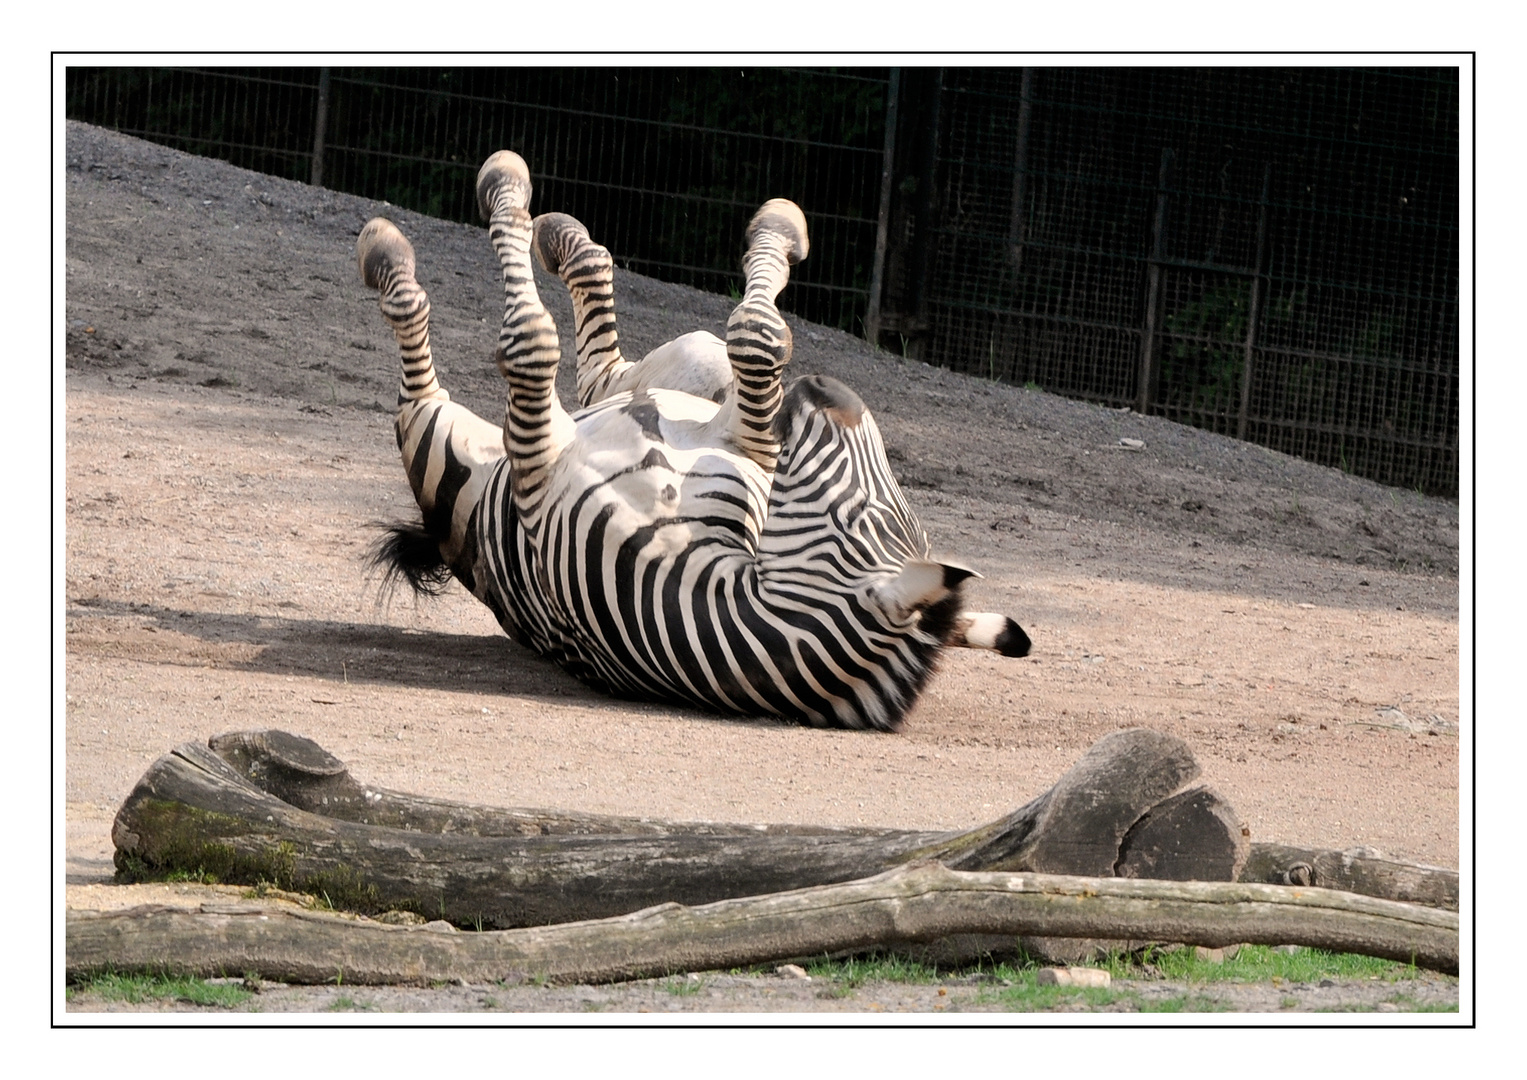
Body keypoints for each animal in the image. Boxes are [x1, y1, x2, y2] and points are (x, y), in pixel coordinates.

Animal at [357, 148, 1026, 730]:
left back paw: (412, 238)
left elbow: (530, 339)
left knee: (436, 366)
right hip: (689, 378)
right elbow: (759, 335)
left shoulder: (537, 468)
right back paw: (570, 234)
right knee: (616, 365)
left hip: (446, 442)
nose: (824, 386)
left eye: (858, 516)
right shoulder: (750, 442)